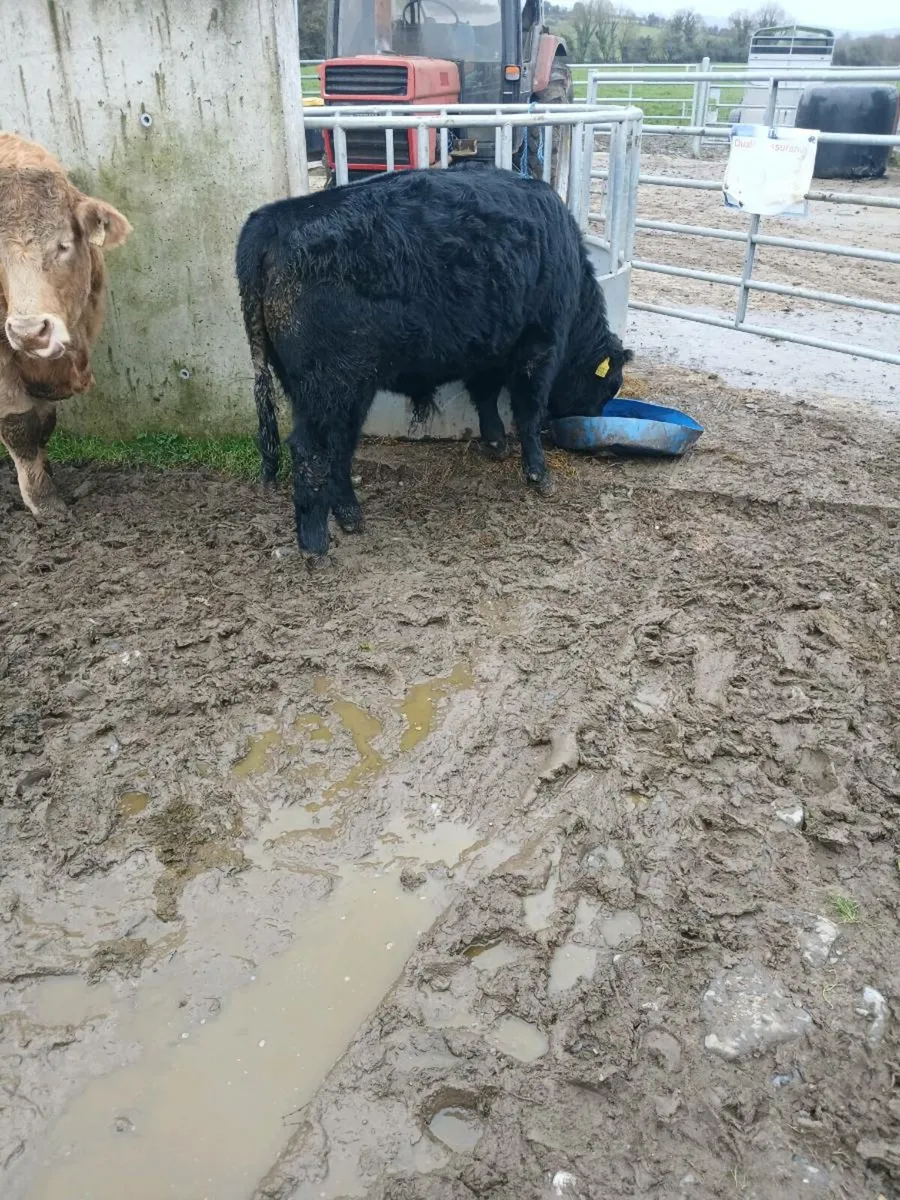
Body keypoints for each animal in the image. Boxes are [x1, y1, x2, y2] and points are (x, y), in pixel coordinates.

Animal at [236, 164, 632, 557]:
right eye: (608, 386)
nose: (594, 422)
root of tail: (274, 218)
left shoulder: (489, 350)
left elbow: (486, 397)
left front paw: (495, 443)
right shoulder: (538, 347)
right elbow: (528, 411)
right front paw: (540, 474)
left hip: (321, 389)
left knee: (338, 448)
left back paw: (349, 516)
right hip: (331, 388)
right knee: (313, 451)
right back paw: (316, 543)